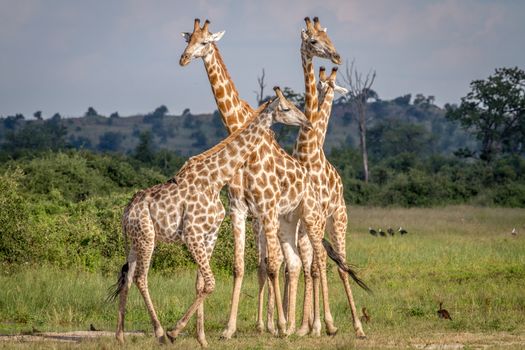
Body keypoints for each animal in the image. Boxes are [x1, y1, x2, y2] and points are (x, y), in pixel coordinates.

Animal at [107, 91, 312, 348]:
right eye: (285, 108)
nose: (306, 122)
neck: (215, 179)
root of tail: (127, 212)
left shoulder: (209, 235)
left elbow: (201, 284)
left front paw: (202, 338)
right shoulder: (192, 233)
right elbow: (211, 283)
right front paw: (176, 331)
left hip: (134, 241)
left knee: (127, 277)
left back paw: (120, 336)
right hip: (147, 238)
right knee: (140, 278)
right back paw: (160, 332)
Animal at [178, 19, 350, 336]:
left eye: (205, 42)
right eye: (189, 40)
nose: (183, 59)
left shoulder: (266, 209)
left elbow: (274, 264)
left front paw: (282, 325)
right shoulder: (241, 208)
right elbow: (245, 266)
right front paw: (238, 327)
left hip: (326, 219)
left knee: (322, 262)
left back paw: (326, 325)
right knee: (297, 262)